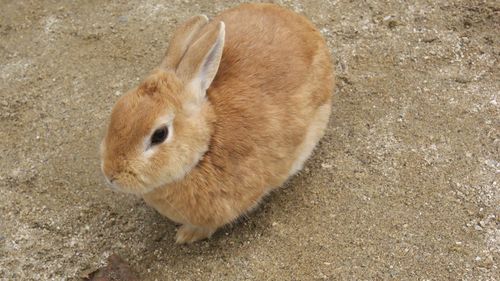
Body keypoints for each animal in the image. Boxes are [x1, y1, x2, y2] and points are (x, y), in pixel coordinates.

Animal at [99, 2, 334, 243]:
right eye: (118, 109)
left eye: (159, 134)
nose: (111, 175)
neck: (208, 140)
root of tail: (306, 27)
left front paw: (186, 235)